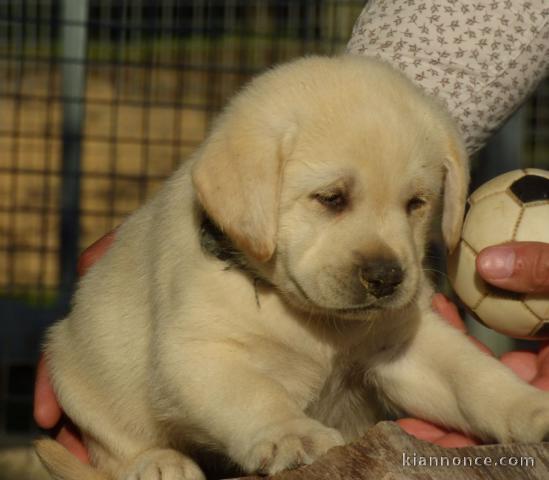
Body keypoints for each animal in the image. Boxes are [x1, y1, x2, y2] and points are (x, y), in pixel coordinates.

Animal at [36, 56, 548, 480]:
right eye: (331, 198)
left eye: (416, 203)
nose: (386, 279)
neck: (312, 319)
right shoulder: (195, 352)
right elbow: (253, 394)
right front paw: (292, 433)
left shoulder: (404, 344)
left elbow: (474, 377)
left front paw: (532, 408)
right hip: (72, 370)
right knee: (114, 446)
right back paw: (160, 463)